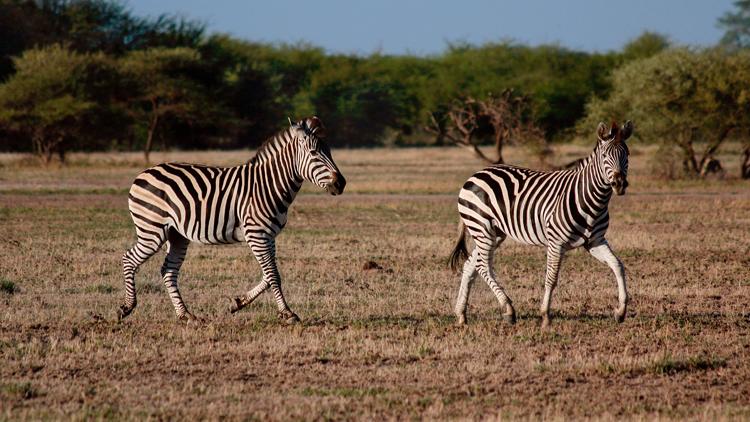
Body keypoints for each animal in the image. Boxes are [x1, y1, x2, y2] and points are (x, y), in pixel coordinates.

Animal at [119, 117, 348, 324]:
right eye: (314, 153)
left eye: (330, 153)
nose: (341, 184)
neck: (268, 186)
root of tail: (144, 173)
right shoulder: (256, 235)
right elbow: (273, 275)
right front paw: (287, 313)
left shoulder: (269, 237)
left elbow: (268, 275)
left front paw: (239, 302)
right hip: (152, 230)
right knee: (129, 258)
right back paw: (127, 307)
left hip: (176, 235)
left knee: (168, 271)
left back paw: (186, 315)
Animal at [452, 120, 636, 328]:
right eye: (605, 156)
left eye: (627, 154)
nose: (619, 184)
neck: (592, 199)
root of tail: (475, 174)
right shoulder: (556, 242)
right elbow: (551, 278)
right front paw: (546, 315)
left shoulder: (595, 241)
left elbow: (618, 265)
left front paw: (621, 311)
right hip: (482, 227)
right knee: (483, 266)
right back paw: (508, 309)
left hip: (494, 233)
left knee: (470, 265)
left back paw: (461, 314)